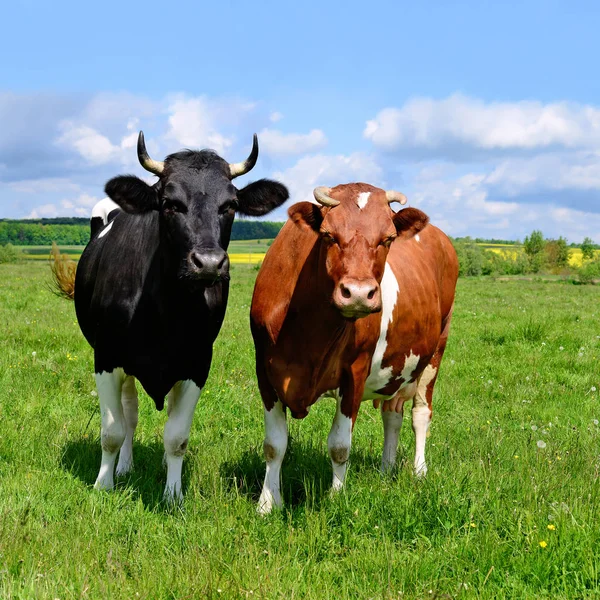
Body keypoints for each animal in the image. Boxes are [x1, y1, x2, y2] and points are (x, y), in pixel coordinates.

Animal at [64, 132, 290, 502]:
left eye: (230, 205)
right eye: (170, 202)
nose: (209, 263)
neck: (164, 311)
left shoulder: (197, 364)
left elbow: (176, 436)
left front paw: (173, 494)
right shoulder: (106, 357)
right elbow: (111, 431)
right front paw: (103, 484)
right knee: (129, 415)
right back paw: (123, 467)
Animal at [251, 180, 458, 512]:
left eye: (387, 238)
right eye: (328, 235)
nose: (359, 293)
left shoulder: (355, 374)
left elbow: (339, 445)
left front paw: (336, 499)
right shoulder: (265, 374)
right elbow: (274, 445)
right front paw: (268, 503)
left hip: (436, 350)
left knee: (420, 414)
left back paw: (419, 472)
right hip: (397, 365)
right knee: (392, 414)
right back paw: (386, 470)